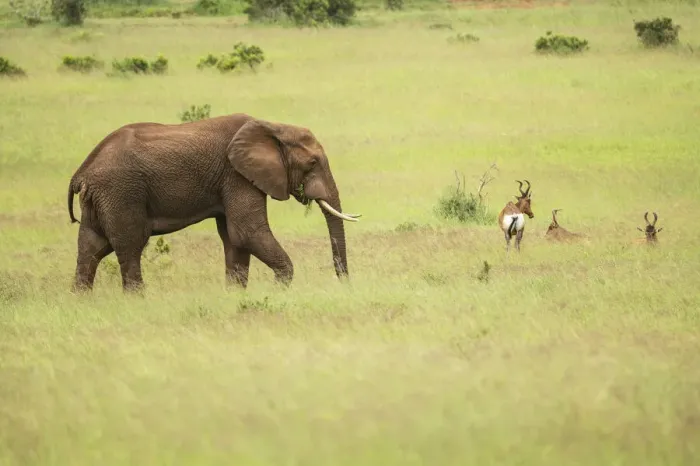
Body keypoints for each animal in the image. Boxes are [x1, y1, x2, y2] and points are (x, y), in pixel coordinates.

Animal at [66, 113, 361, 292]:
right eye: (312, 163)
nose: (344, 284)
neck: (271, 126)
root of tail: (82, 171)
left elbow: (234, 238)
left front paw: (235, 295)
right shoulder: (237, 175)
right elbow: (247, 232)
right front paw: (280, 289)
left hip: (101, 199)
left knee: (91, 248)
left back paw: (81, 301)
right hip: (121, 192)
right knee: (129, 246)